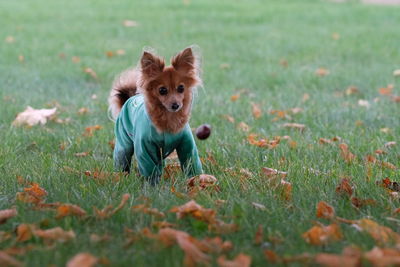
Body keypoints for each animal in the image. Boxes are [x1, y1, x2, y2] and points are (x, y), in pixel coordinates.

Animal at [108, 47, 203, 185]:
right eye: (162, 90)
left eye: (181, 88)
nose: (175, 105)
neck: (168, 119)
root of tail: (130, 98)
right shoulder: (145, 148)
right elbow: (149, 168)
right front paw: (153, 186)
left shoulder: (187, 145)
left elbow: (191, 163)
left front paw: (196, 181)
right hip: (124, 143)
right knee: (122, 158)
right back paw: (120, 176)